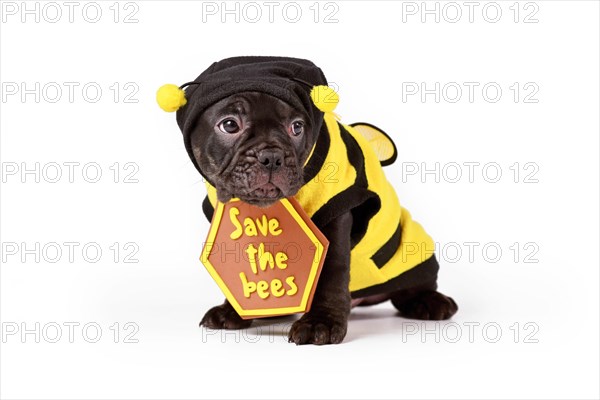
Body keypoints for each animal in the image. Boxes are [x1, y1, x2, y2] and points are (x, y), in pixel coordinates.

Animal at [159, 55, 460, 344]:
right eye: (230, 124)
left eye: (297, 127)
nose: (272, 156)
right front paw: (233, 309)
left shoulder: (336, 216)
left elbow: (332, 272)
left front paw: (321, 322)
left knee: (411, 287)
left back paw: (430, 302)